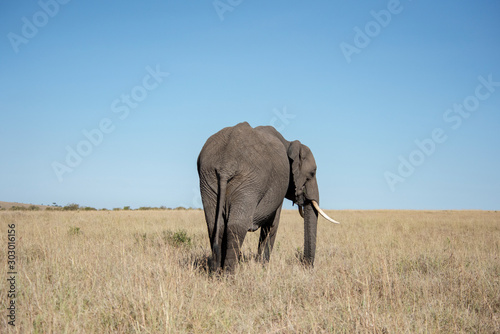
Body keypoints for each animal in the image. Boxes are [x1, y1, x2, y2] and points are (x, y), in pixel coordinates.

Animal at [196, 122, 340, 274]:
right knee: (236, 226)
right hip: (250, 183)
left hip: (208, 178)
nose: (306, 266)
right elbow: (272, 225)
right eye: (312, 173)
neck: (289, 143)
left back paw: (216, 273)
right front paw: (263, 266)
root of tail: (226, 165)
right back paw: (229, 274)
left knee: (214, 224)